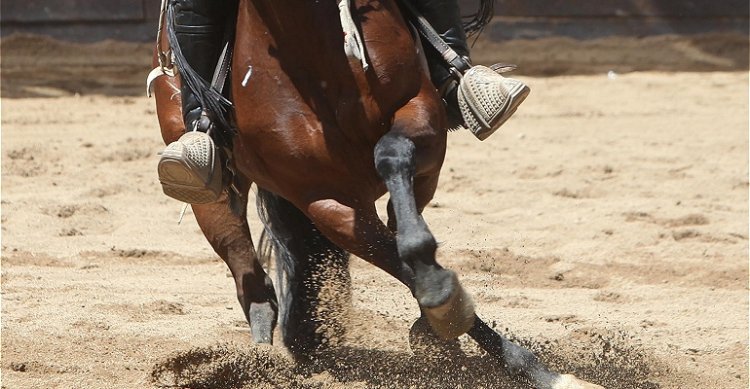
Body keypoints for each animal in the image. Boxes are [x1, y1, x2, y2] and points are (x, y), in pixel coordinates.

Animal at [151, 1, 604, 386]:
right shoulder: (325, 201)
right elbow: (396, 257)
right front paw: (442, 304)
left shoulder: (421, 118)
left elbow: (395, 172)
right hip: (211, 196)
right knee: (253, 284)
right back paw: (262, 360)